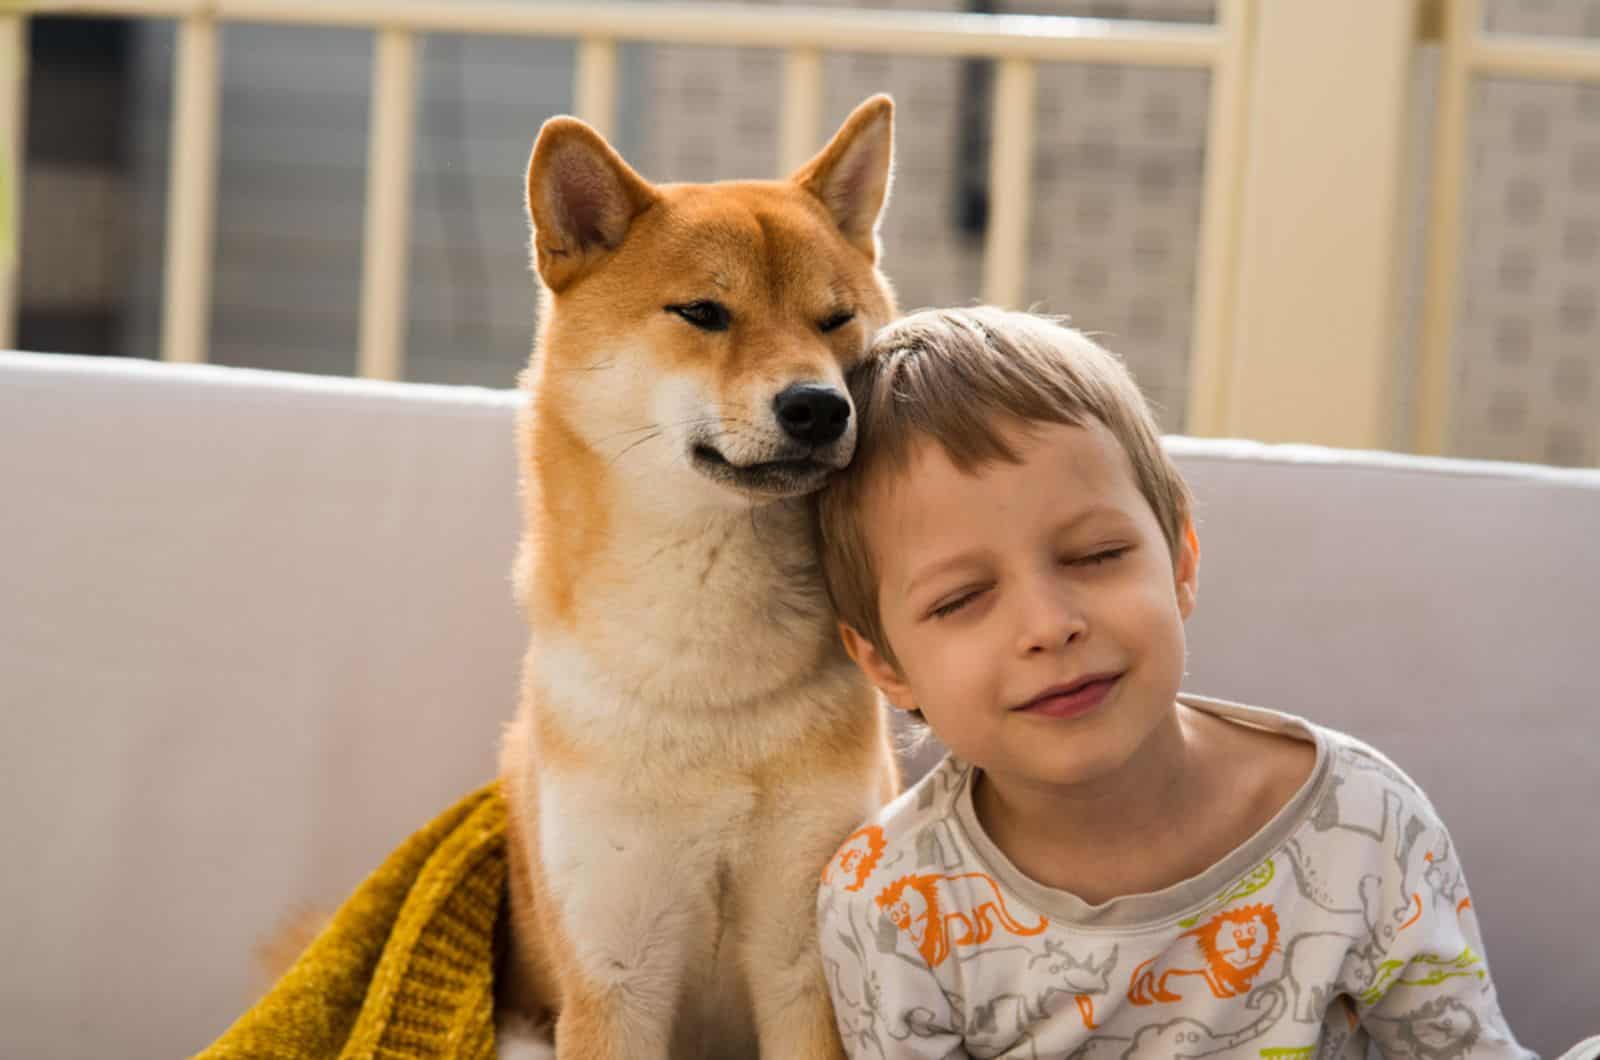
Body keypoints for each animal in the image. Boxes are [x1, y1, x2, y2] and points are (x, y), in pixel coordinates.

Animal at [492, 97, 908, 1060]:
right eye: (703, 312)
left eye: (835, 319)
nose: (817, 405)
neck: (711, 691)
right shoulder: (615, 977)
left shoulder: (803, 961)